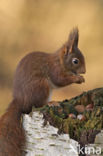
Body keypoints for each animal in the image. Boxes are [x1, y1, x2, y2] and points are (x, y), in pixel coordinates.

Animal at [0, 27, 85, 155]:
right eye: (75, 61)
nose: (84, 71)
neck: (59, 61)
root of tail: (21, 102)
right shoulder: (54, 69)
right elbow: (59, 80)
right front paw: (77, 78)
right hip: (41, 86)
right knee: (38, 104)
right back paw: (51, 103)